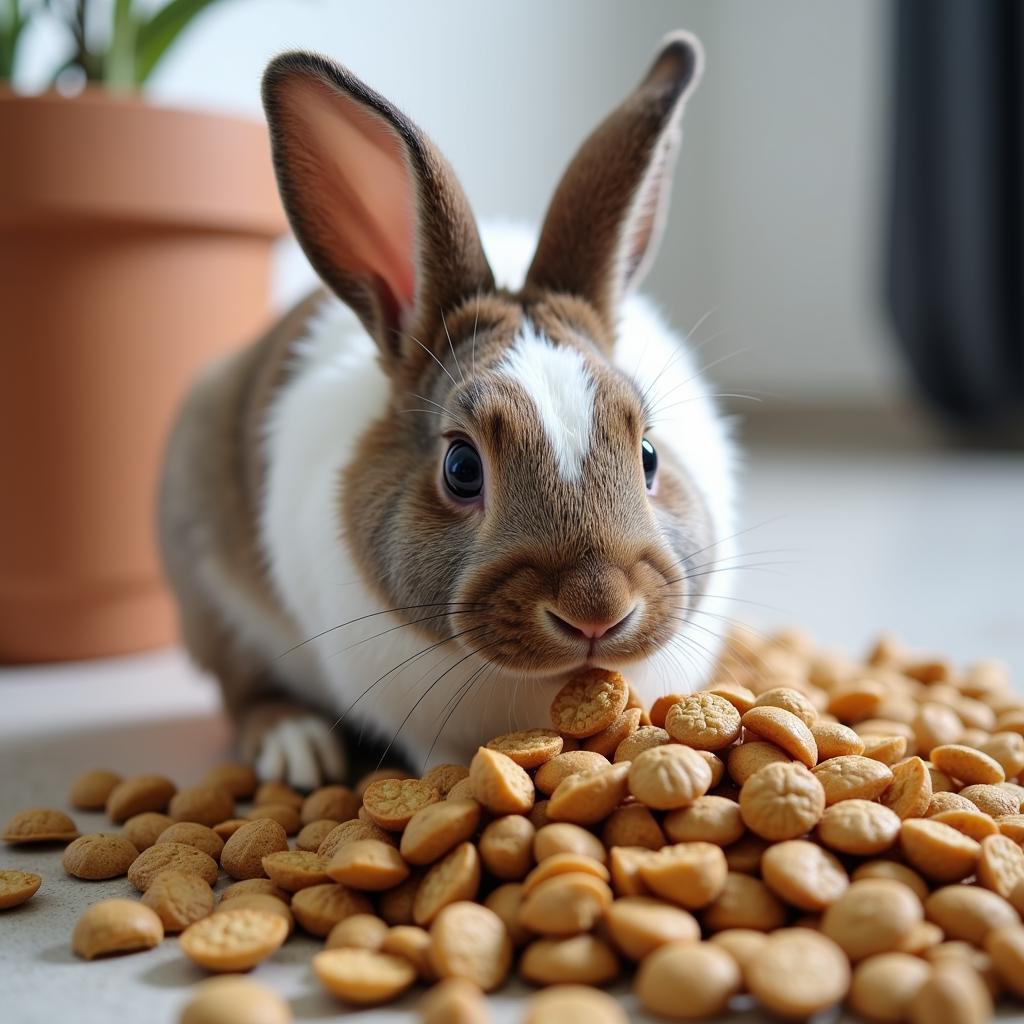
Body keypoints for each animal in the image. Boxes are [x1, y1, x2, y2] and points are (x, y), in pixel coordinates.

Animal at [157, 28, 737, 786]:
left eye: (648, 456)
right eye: (462, 468)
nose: (596, 611)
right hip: (209, 589)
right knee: (242, 686)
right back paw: (296, 748)